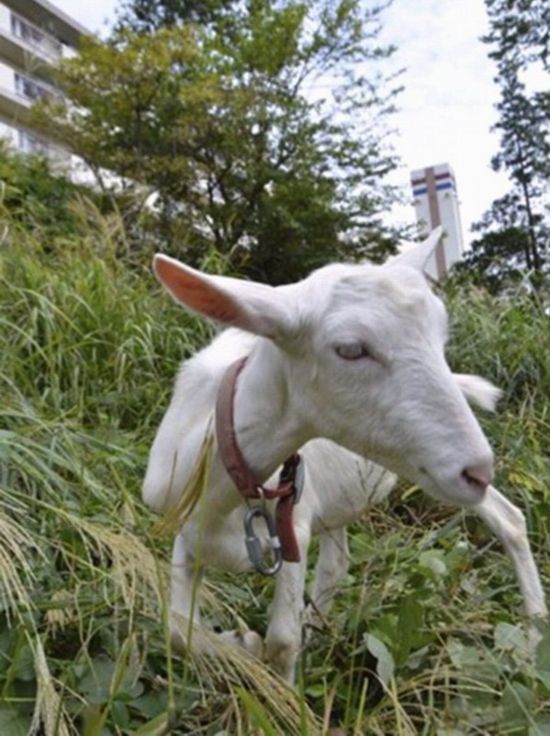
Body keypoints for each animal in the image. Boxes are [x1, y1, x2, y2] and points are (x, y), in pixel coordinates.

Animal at [142, 231, 548, 684]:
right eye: (351, 349)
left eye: (441, 339)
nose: (477, 470)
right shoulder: (185, 527)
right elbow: (178, 630)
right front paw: (240, 645)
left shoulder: (293, 528)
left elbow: (280, 641)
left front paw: (275, 680)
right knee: (337, 562)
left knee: (508, 518)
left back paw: (533, 639)